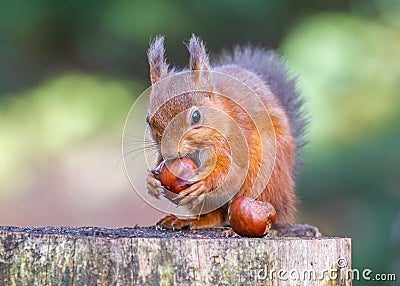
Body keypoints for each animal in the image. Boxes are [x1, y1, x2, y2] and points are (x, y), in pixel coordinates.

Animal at [146, 34, 306, 230]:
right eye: (148, 121)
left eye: (196, 116)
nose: (170, 152)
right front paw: (151, 182)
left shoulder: (236, 141)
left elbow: (233, 171)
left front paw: (203, 183)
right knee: (216, 216)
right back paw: (189, 220)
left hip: (267, 176)